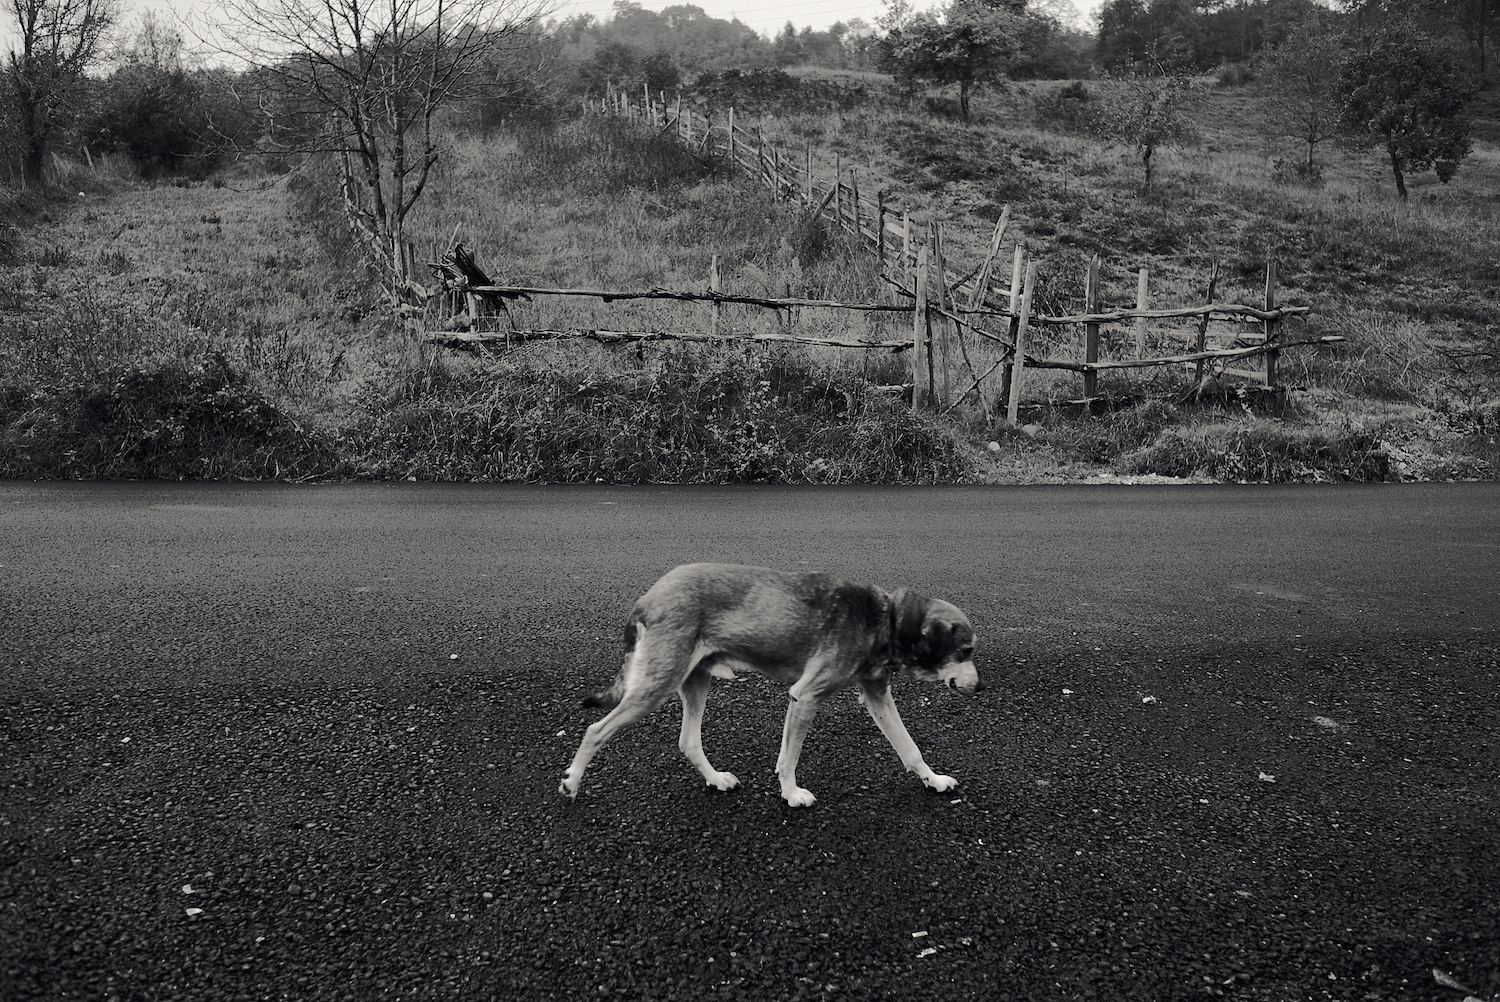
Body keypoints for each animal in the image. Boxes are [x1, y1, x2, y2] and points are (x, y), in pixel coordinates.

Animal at [558, 564, 978, 804]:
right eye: (966, 650)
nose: (981, 687)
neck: (886, 619)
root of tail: (649, 596)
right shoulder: (805, 697)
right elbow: (790, 758)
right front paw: (791, 794)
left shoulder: (876, 695)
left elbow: (910, 749)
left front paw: (934, 781)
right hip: (656, 685)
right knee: (596, 730)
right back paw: (572, 782)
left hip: (695, 680)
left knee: (688, 741)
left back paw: (716, 779)